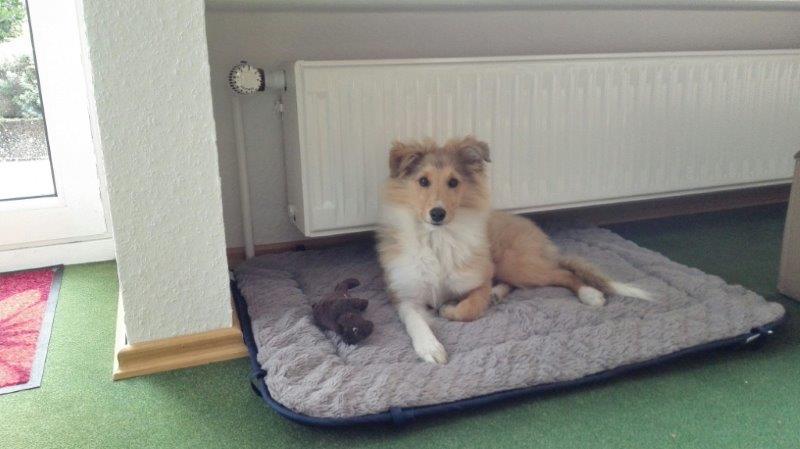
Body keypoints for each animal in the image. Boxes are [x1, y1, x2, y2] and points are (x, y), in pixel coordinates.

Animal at [377, 136, 653, 364]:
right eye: (423, 181)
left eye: (453, 182)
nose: (437, 213)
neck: (437, 240)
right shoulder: (405, 296)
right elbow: (416, 321)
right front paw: (430, 348)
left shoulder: (479, 279)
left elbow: (469, 308)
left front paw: (450, 309)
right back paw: (498, 294)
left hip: (514, 263)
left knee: (563, 273)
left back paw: (590, 294)